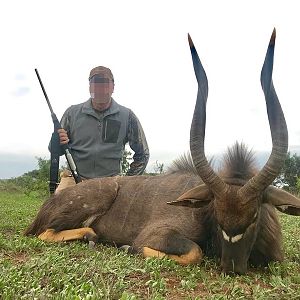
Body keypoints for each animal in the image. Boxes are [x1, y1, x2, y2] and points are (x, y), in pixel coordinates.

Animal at [26, 29, 300, 276]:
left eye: (254, 216)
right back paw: (91, 236)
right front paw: (128, 248)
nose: (231, 268)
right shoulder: (158, 234)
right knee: (45, 233)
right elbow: (194, 252)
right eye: (217, 215)